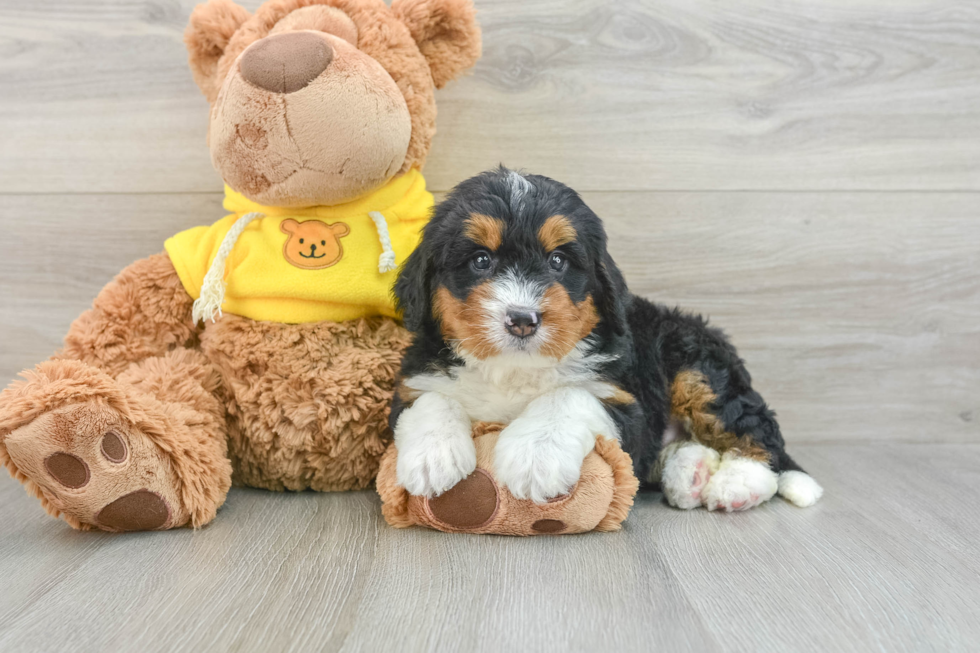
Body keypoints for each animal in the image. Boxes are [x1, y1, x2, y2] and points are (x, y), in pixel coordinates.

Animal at [386, 167, 824, 510]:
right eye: (480, 260)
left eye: (558, 261)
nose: (523, 319)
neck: (515, 369)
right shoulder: (414, 380)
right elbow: (430, 399)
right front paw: (431, 456)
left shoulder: (627, 405)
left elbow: (569, 395)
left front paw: (535, 456)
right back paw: (690, 474)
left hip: (697, 367)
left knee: (756, 433)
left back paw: (738, 485)